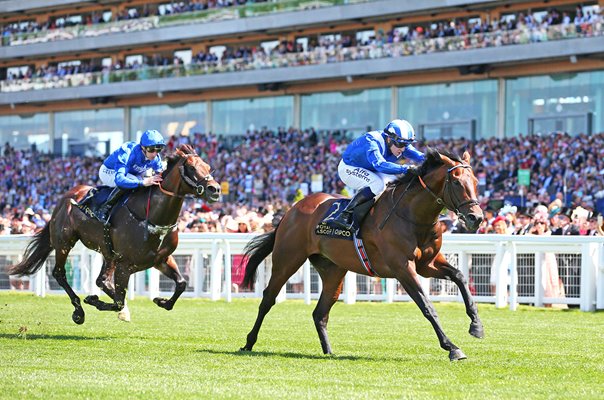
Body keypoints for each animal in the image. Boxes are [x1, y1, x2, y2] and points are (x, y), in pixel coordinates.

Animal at [8, 145, 221, 324]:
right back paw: (79, 310)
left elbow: (181, 284)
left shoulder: (161, 259)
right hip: (64, 242)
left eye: (208, 166)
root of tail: (66, 197)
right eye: (191, 167)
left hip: (107, 251)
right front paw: (93, 300)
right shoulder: (125, 265)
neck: (151, 217)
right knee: (60, 274)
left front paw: (161, 301)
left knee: (102, 280)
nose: (216, 189)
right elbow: (117, 300)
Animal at [241, 148, 486, 360]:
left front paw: (476, 325)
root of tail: (291, 210)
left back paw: (329, 352)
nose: (476, 218)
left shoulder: (427, 264)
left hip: (333, 270)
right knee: (268, 298)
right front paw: (452, 347)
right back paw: (248, 342)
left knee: (320, 312)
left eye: (475, 182)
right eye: (457, 182)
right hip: (288, 259)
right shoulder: (402, 267)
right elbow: (427, 306)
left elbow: (459, 276)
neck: (412, 216)